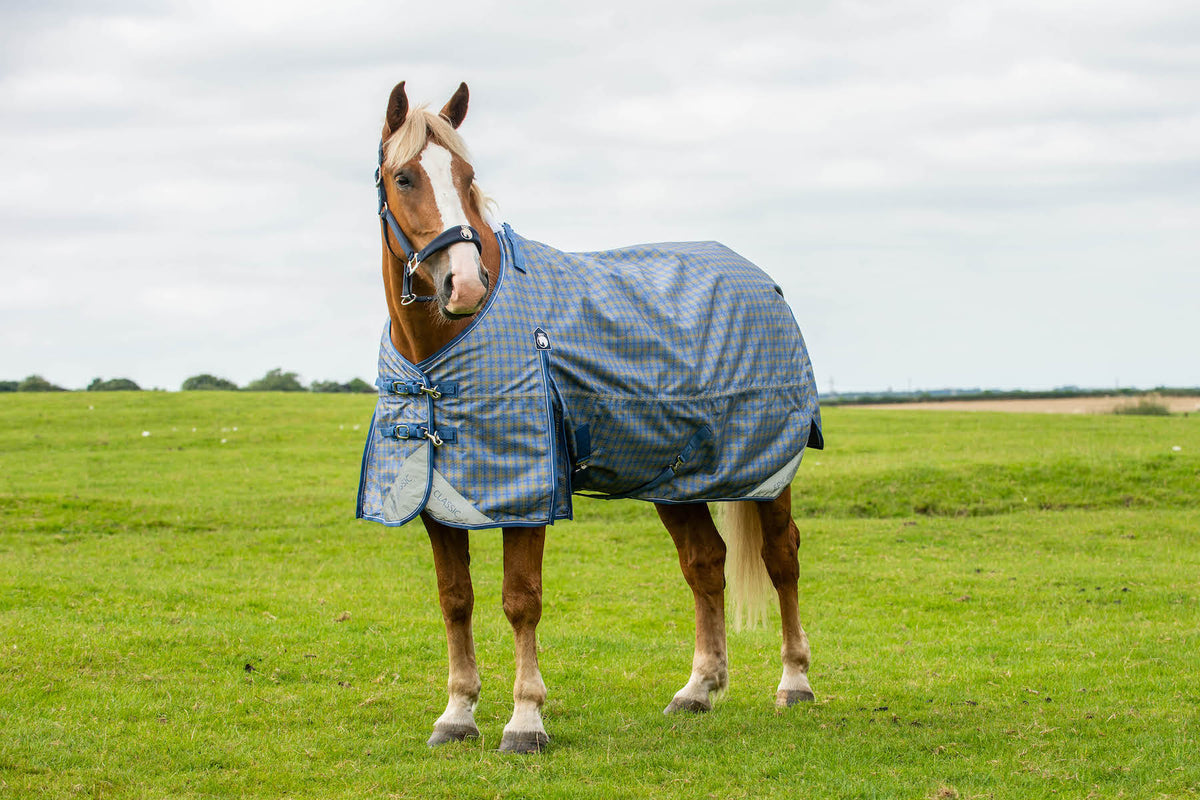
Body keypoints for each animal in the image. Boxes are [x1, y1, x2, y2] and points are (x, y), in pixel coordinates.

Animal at [358, 81, 822, 753]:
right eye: (404, 176)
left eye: (468, 177)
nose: (464, 285)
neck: (438, 359)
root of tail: (764, 282)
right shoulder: (435, 494)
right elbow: (455, 600)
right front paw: (458, 714)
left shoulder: (529, 493)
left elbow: (520, 600)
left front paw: (525, 721)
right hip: (676, 477)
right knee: (705, 564)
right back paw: (698, 689)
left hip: (768, 468)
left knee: (781, 557)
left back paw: (794, 682)